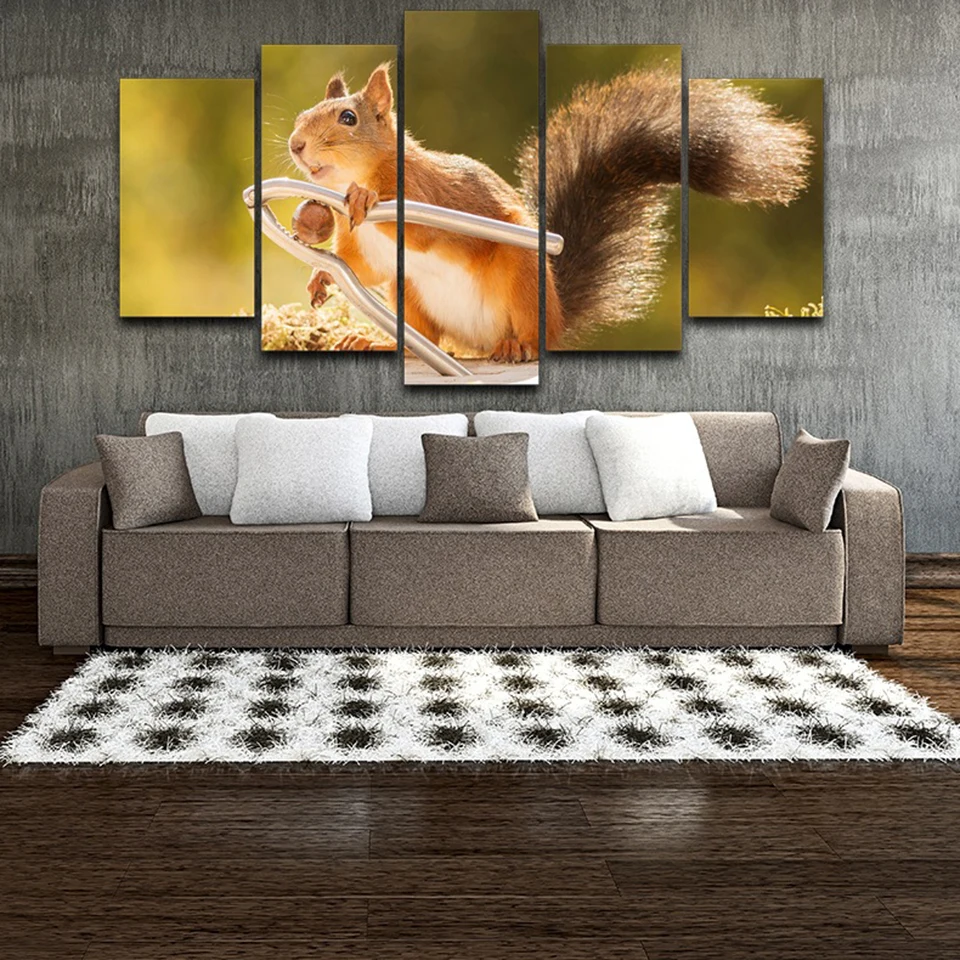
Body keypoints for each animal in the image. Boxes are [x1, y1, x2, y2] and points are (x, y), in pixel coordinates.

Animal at [288, 65, 813, 357]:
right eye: (301, 115)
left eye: (348, 118)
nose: (295, 145)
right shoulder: (365, 250)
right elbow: (363, 268)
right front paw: (320, 277)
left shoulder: (430, 194)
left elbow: (419, 229)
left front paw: (365, 197)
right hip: (410, 294)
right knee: (427, 341)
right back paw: (379, 341)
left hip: (522, 278)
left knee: (526, 336)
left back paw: (517, 347)